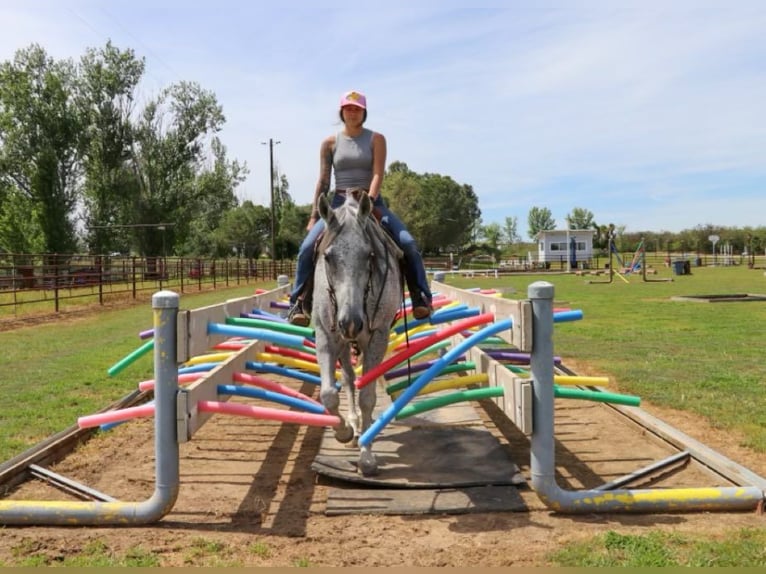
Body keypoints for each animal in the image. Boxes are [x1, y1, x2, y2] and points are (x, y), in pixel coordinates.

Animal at [314, 191, 404, 474]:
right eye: (328, 257)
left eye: (369, 255)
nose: (351, 322)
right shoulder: (325, 334)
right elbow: (329, 393)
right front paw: (343, 430)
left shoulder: (378, 337)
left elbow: (368, 396)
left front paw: (367, 456)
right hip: (342, 342)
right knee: (348, 379)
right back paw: (352, 424)